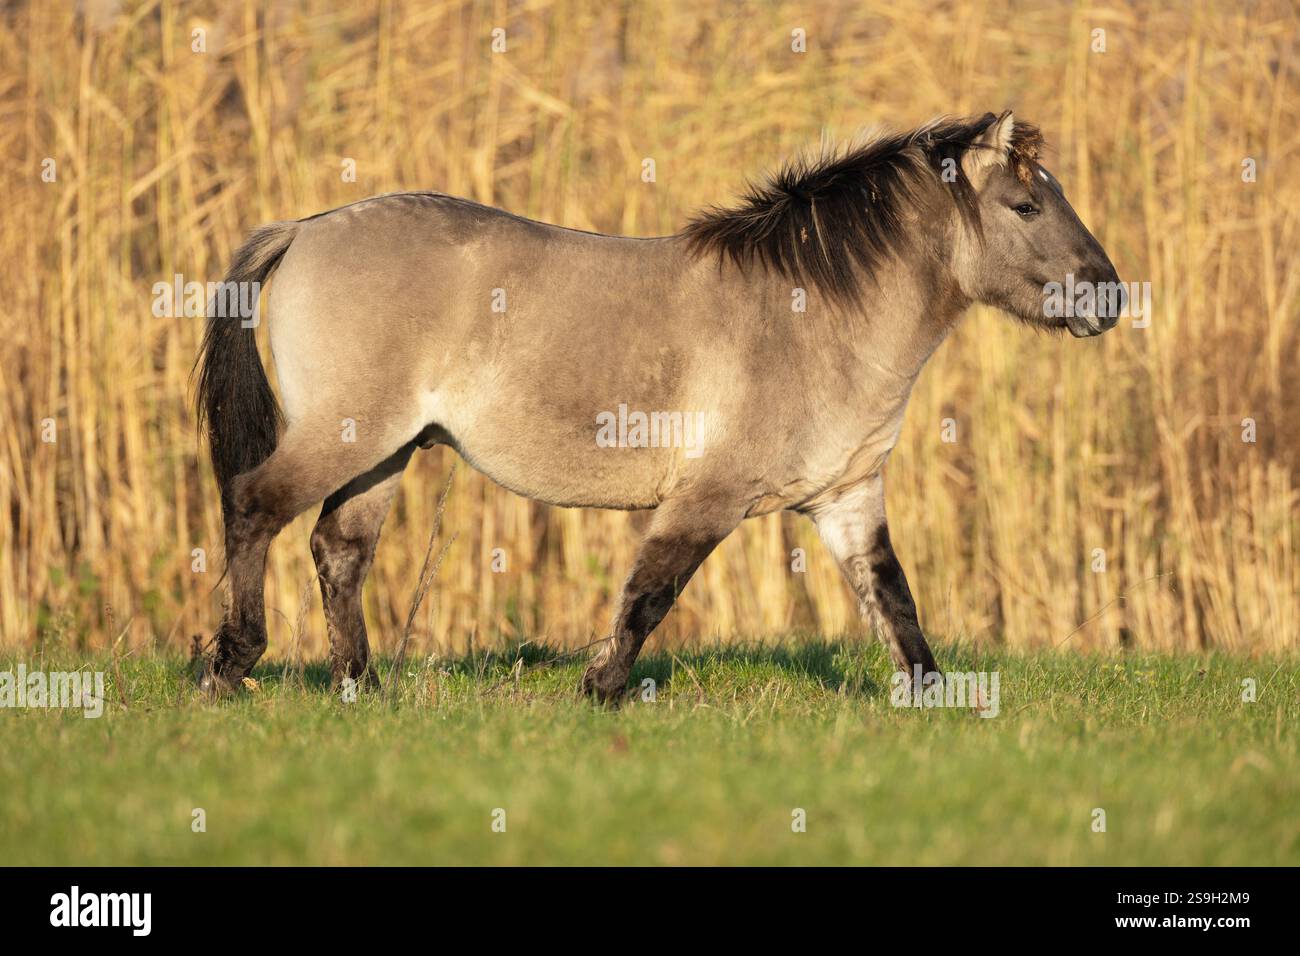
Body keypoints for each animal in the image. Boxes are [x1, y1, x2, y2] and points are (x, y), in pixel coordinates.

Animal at [195, 110, 1123, 702]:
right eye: (1026, 204)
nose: (1109, 297)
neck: (809, 316)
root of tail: (307, 227)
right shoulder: (709, 497)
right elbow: (652, 590)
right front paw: (599, 689)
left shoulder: (847, 499)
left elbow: (895, 602)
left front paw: (936, 699)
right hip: (349, 435)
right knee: (254, 506)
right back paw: (230, 668)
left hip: (386, 448)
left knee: (338, 551)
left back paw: (362, 685)